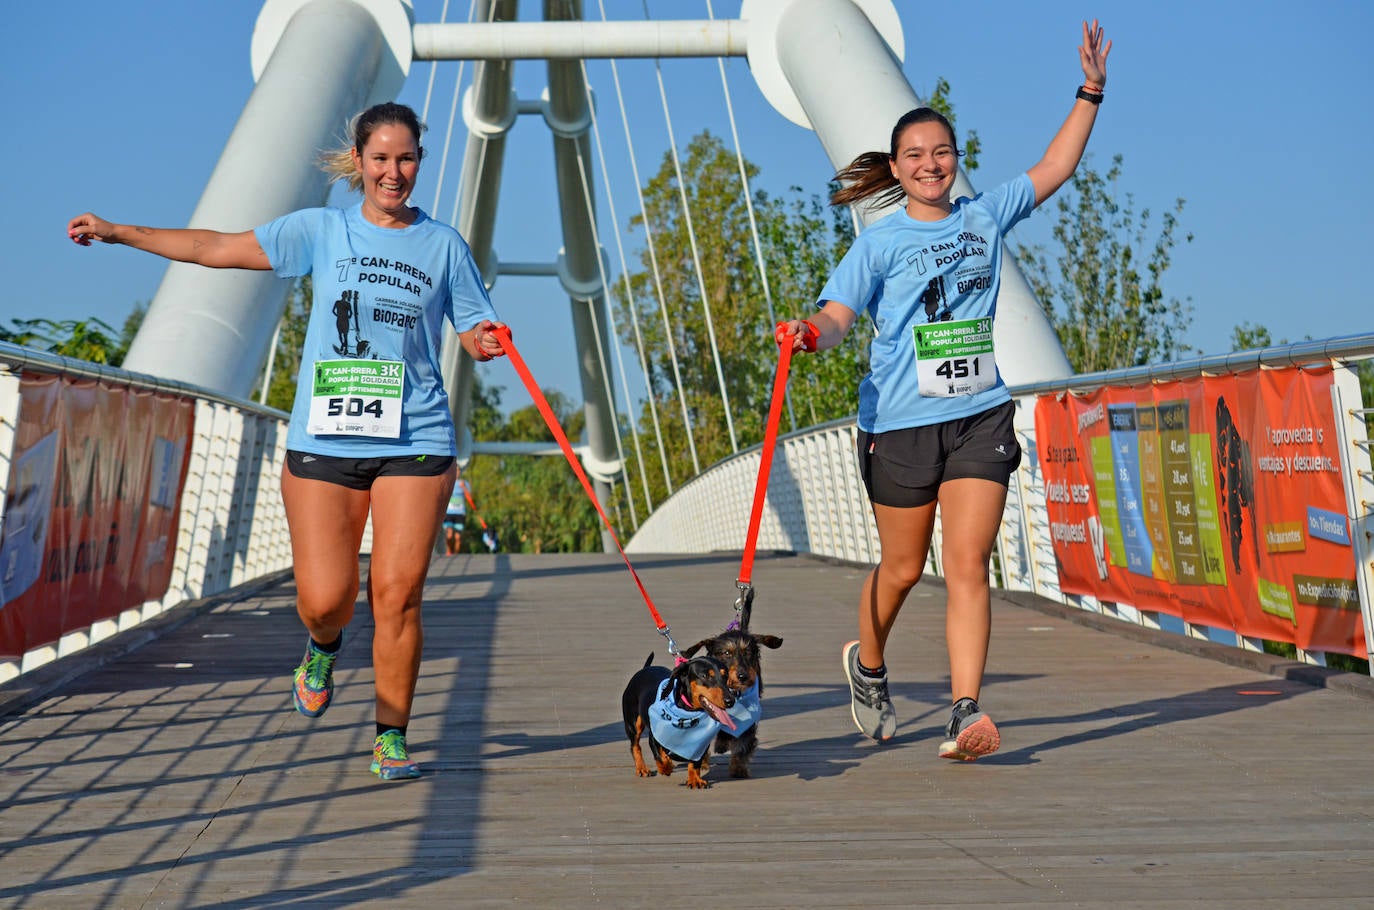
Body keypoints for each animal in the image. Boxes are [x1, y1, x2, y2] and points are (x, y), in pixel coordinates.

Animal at [621, 657, 730, 791]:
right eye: (705, 676)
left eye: (725, 676)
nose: (730, 700)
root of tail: (644, 669)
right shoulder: (653, 737)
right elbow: (660, 758)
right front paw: (666, 767)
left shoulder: (701, 743)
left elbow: (695, 763)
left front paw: (695, 780)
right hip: (633, 723)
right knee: (635, 746)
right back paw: (642, 769)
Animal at [678, 632, 780, 780]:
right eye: (726, 653)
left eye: (748, 652)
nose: (743, 676)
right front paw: (702, 763)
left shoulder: (749, 721)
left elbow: (742, 744)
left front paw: (738, 769)